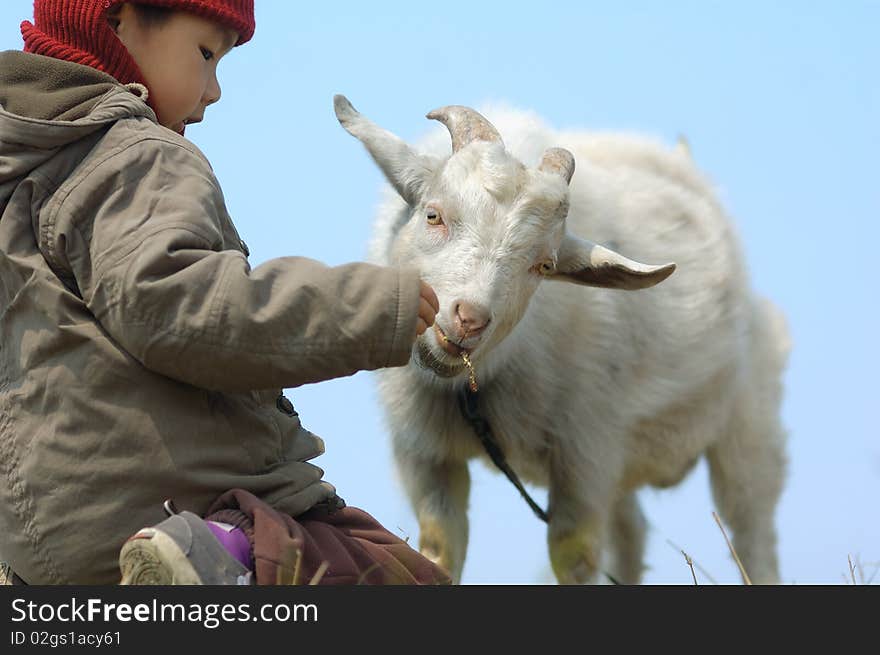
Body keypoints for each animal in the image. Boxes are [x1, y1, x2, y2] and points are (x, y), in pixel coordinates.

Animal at [336, 96, 792, 584]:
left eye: (544, 266)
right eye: (433, 215)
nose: (469, 319)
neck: (472, 390)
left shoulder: (583, 453)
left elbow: (574, 554)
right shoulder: (424, 454)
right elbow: (439, 547)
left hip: (747, 426)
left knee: (751, 528)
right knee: (632, 530)